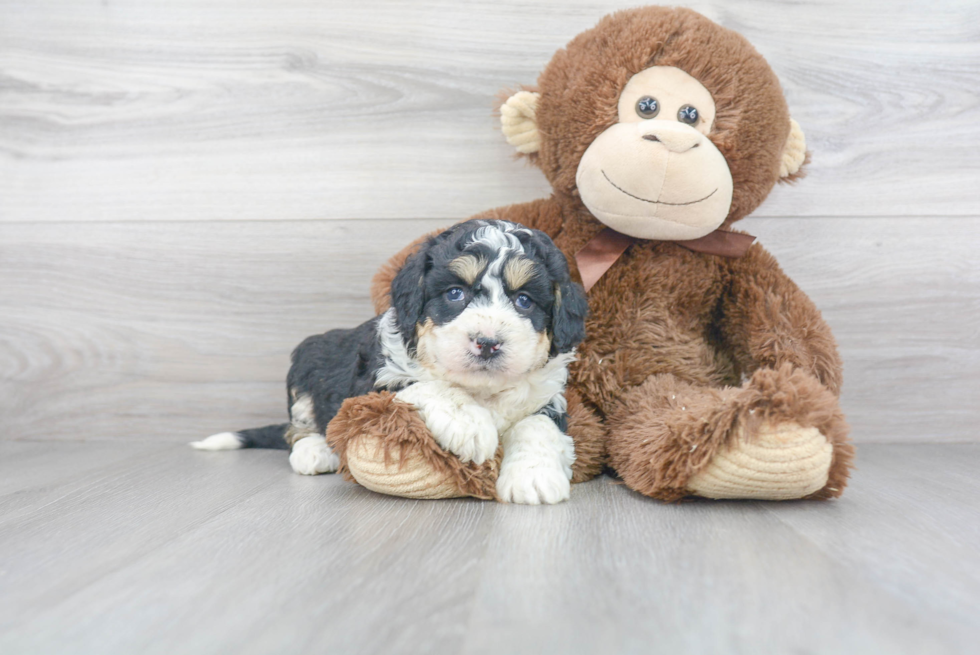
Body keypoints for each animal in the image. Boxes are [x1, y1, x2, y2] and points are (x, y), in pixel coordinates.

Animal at [194, 220, 584, 508]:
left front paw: (533, 476)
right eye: (454, 294)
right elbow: (430, 386)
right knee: (298, 426)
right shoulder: (374, 384)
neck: (480, 389)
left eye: (524, 301)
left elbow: (537, 426)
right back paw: (314, 451)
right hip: (305, 363)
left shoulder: (546, 396)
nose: (487, 343)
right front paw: (470, 426)